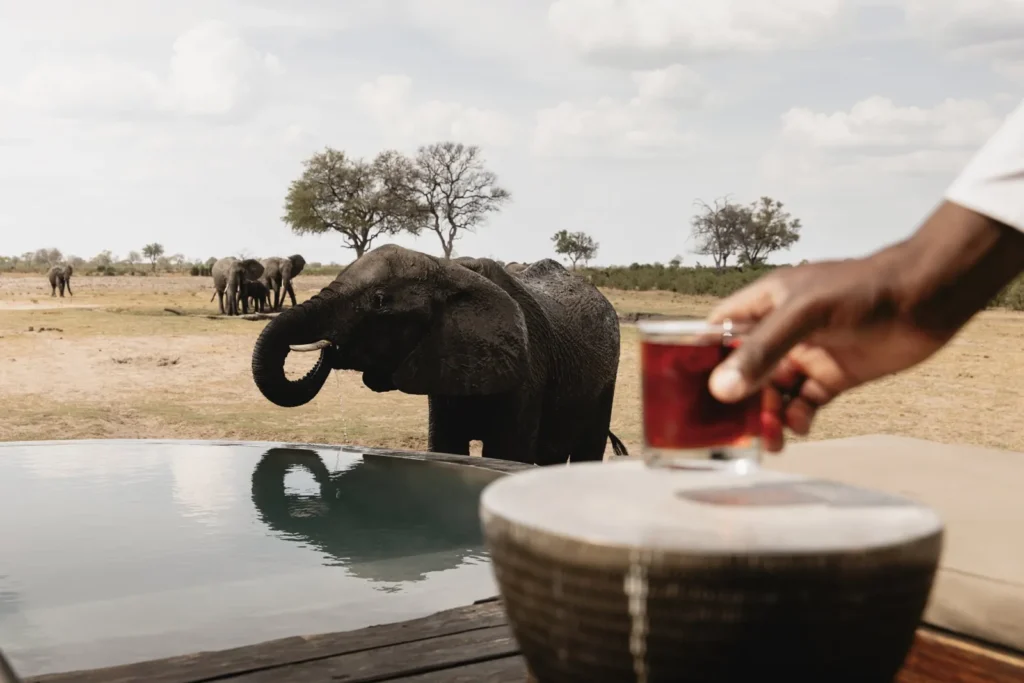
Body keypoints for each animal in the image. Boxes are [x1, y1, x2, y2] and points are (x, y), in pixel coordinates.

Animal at [250, 243, 629, 466]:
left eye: (379, 302)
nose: (333, 347)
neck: (449, 270)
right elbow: (447, 445)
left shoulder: (529, 371)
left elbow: (507, 453)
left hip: (608, 375)